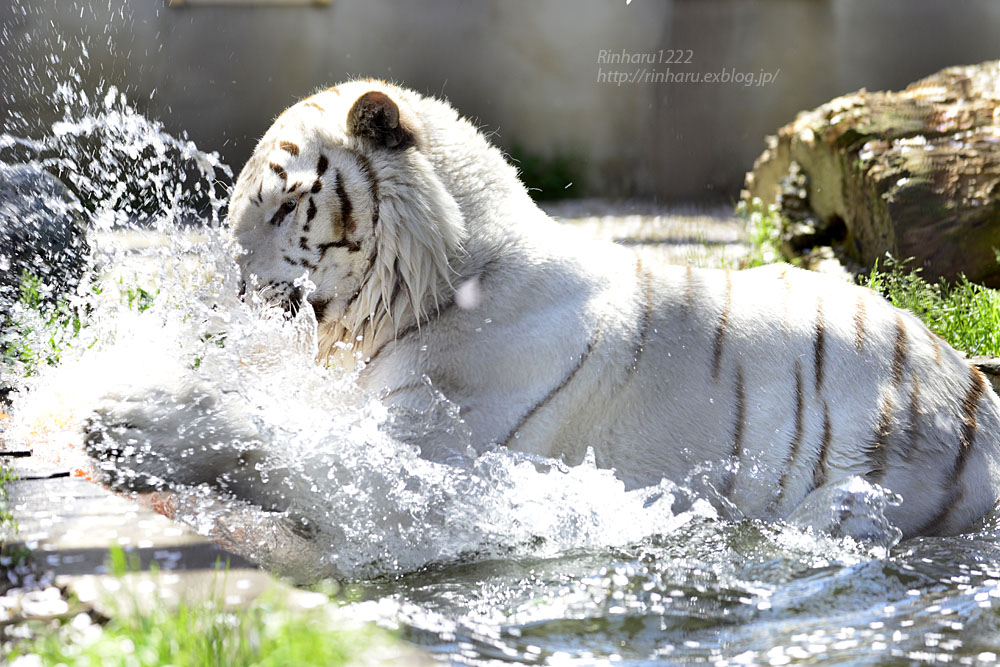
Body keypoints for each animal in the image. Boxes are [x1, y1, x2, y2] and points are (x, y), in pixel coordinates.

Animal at [94, 78, 1000, 540]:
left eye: (284, 206)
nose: (239, 291)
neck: (433, 286)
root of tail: (973, 386)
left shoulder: (427, 467)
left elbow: (278, 441)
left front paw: (130, 417)